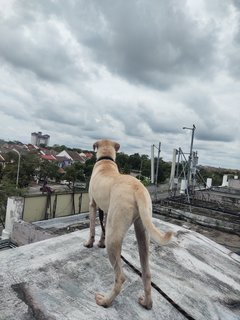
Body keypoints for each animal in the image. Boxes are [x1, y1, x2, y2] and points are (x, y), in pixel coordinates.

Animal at [84, 140, 172, 310]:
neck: (106, 161)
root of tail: (139, 188)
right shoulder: (106, 211)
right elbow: (102, 228)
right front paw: (100, 242)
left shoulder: (92, 204)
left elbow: (92, 227)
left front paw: (89, 243)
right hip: (142, 230)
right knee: (147, 273)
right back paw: (147, 303)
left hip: (114, 235)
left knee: (120, 277)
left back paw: (105, 301)